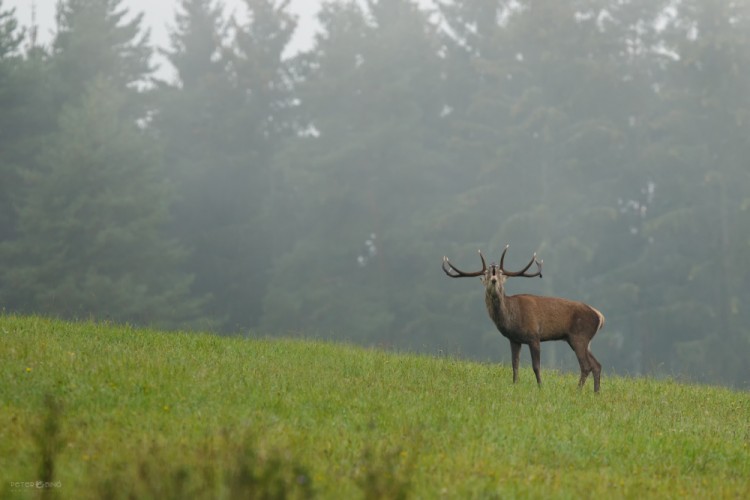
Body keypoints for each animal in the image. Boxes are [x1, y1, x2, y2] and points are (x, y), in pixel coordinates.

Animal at [444, 248, 608, 392]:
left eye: (501, 273)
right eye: (486, 274)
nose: (494, 279)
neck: (511, 318)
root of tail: (599, 316)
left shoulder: (534, 335)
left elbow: (536, 366)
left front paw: (541, 387)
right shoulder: (514, 339)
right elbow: (514, 364)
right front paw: (515, 384)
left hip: (579, 336)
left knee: (586, 366)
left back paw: (578, 390)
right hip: (581, 340)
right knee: (597, 365)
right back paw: (596, 392)